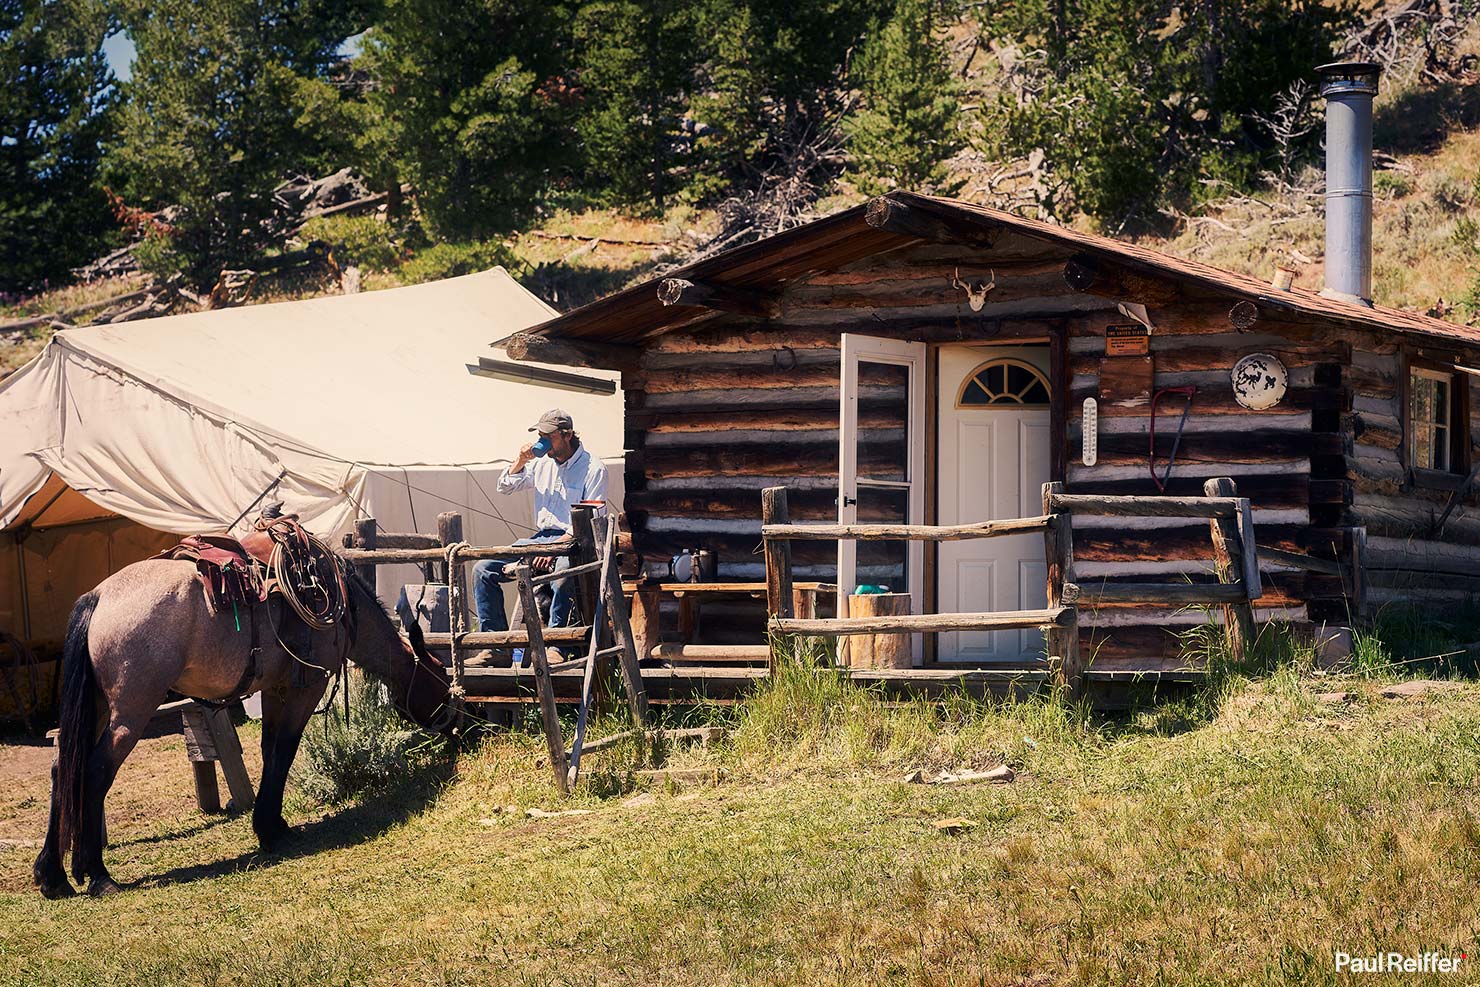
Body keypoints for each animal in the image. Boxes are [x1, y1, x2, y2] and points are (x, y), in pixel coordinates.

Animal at [31, 553, 452, 899]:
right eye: (441, 675)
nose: (454, 722)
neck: (341, 601)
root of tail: (98, 596)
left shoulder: (274, 688)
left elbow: (270, 751)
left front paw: (273, 822)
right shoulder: (305, 688)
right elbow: (284, 751)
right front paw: (269, 828)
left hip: (98, 709)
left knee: (62, 768)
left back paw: (53, 875)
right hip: (130, 715)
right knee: (95, 771)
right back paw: (98, 875)